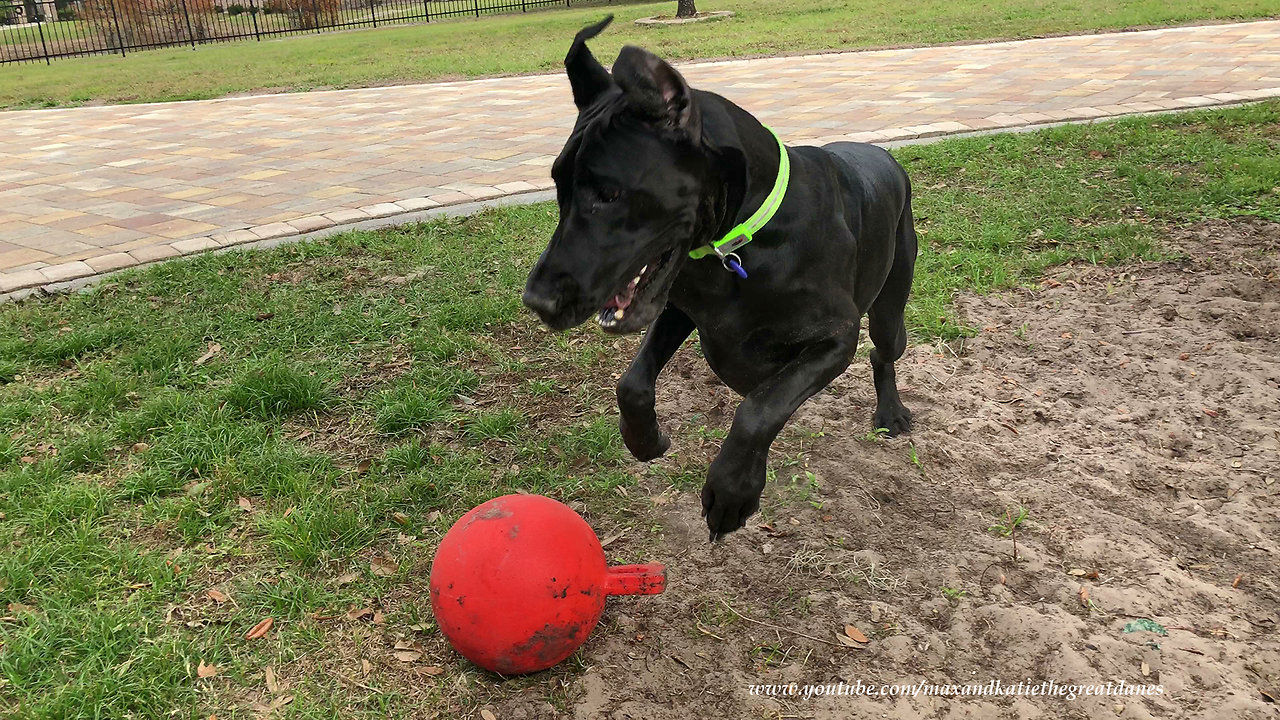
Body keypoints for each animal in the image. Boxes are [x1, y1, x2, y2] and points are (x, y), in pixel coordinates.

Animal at [522, 16, 921, 538]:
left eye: (609, 194)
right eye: (558, 185)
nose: (537, 300)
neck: (738, 243)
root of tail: (885, 156)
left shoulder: (835, 337)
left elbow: (758, 409)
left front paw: (732, 493)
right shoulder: (678, 307)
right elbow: (631, 383)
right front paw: (645, 440)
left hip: (890, 308)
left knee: (883, 351)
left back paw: (890, 413)